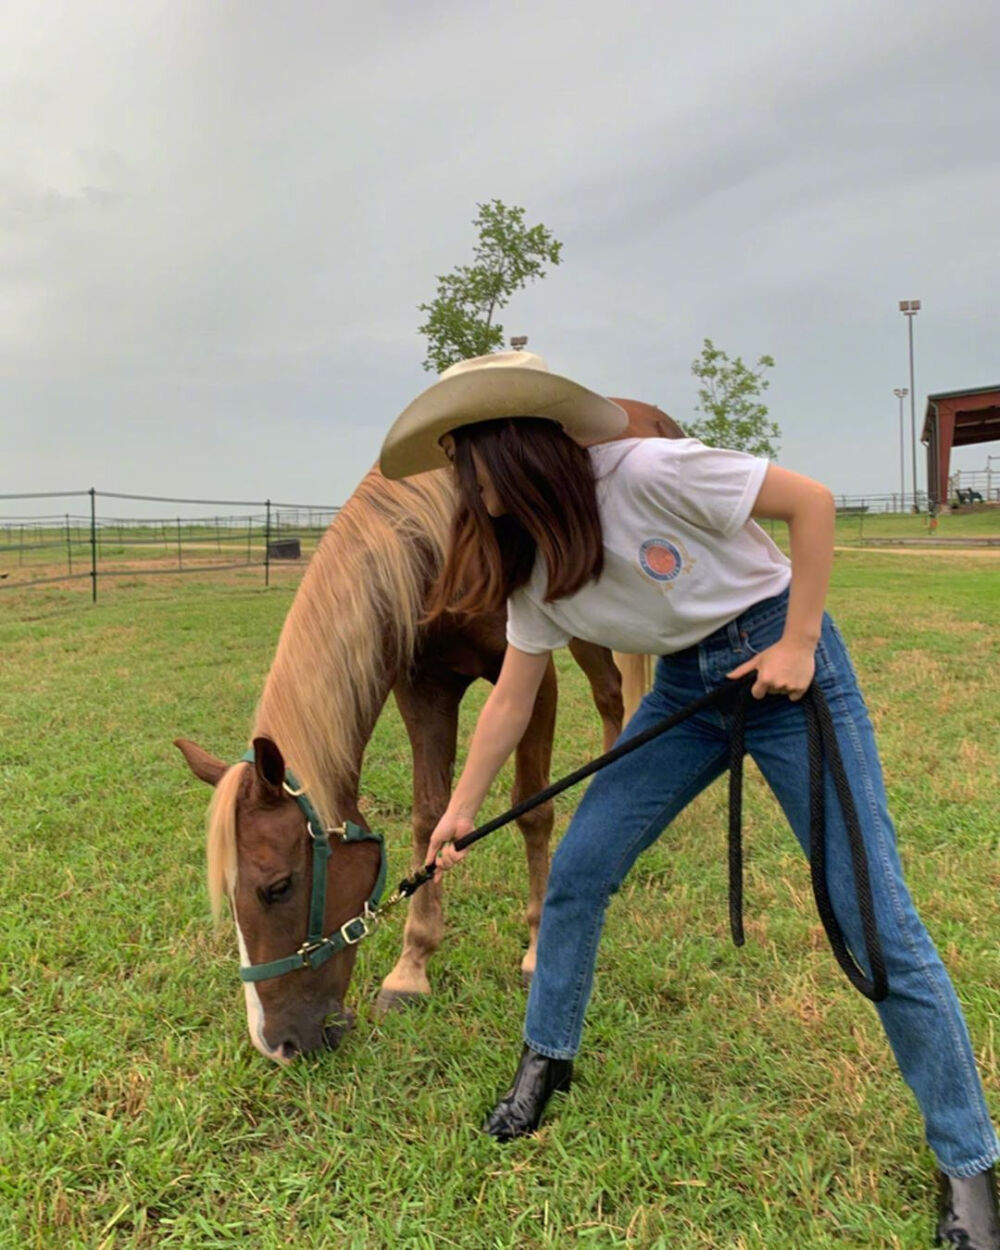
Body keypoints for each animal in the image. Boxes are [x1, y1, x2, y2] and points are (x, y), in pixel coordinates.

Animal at [176, 395, 685, 1060]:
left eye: (277, 887)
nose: (276, 1044)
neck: (444, 543)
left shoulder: (530, 677)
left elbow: (532, 810)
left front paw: (535, 948)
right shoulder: (423, 686)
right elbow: (429, 816)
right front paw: (410, 969)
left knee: (616, 695)